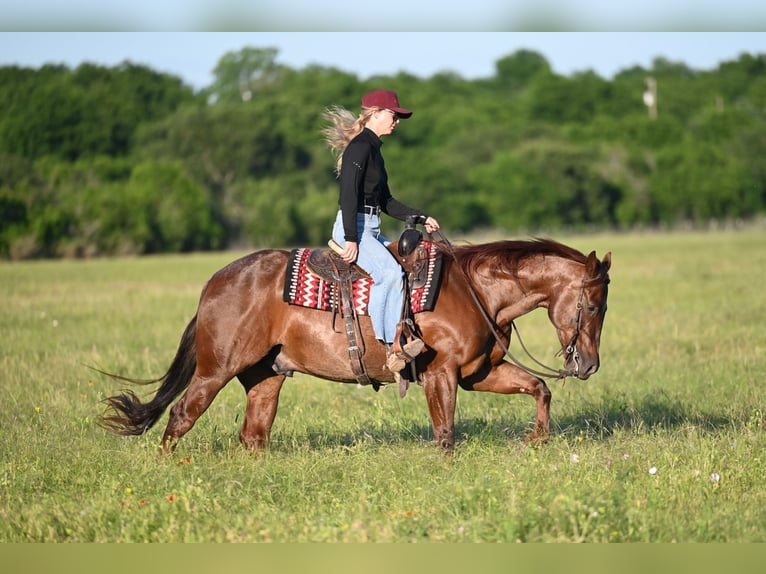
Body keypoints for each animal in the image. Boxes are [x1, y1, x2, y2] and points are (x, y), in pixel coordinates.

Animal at [99, 237, 611, 452]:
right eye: (592, 305)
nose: (588, 365)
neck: (475, 291)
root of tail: (214, 283)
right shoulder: (440, 374)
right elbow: (445, 433)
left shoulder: (479, 373)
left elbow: (540, 388)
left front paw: (536, 439)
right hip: (214, 370)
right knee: (181, 417)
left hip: (265, 377)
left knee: (254, 435)